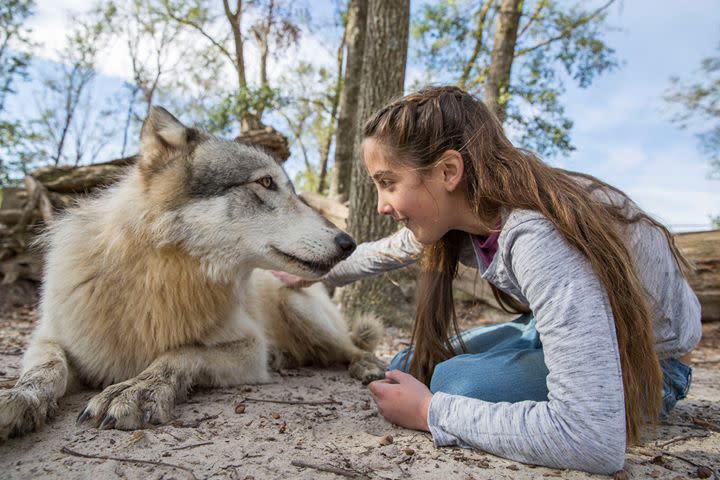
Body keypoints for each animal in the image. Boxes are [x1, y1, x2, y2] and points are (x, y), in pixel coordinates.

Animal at [0, 107, 385, 439]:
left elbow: (182, 353)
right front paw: (18, 398)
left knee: (351, 347)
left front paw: (138, 389)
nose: (349, 243)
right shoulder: (49, 337)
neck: (160, 278)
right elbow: (46, 368)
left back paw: (368, 366)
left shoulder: (252, 349)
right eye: (266, 183)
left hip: (302, 312)